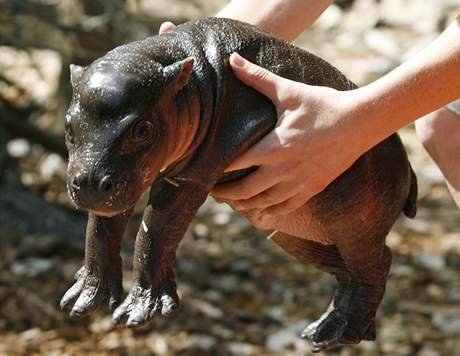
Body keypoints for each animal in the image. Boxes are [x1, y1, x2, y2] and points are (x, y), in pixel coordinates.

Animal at [59, 17, 416, 354]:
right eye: (68, 124)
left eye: (142, 129)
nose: (89, 183)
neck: (192, 82)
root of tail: (410, 168)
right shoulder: (122, 184)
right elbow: (101, 229)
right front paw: (82, 300)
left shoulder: (192, 174)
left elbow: (155, 231)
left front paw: (138, 313)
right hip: (300, 234)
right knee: (347, 271)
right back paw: (327, 333)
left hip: (357, 227)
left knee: (376, 263)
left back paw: (345, 331)